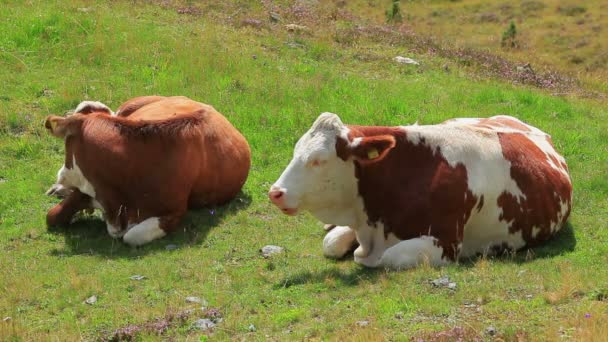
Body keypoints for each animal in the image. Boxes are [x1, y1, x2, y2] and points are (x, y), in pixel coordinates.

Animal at [268, 113, 572, 268]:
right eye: (296, 150)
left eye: (318, 160)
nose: (275, 192)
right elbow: (330, 244)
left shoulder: (446, 245)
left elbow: (385, 258)